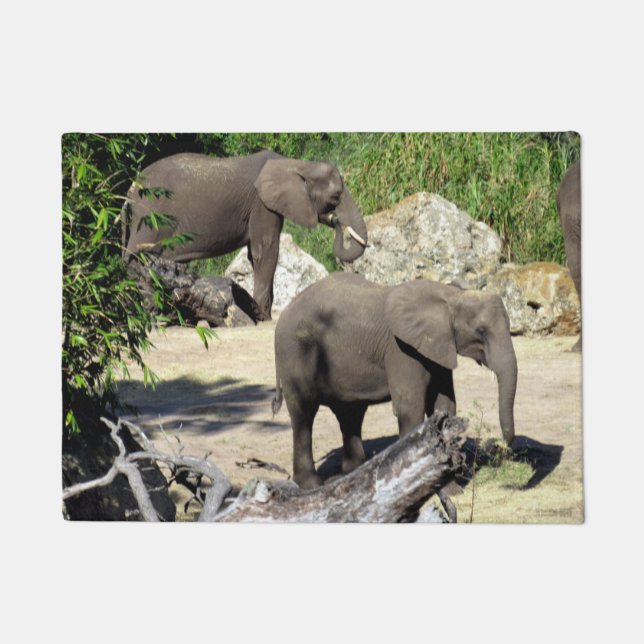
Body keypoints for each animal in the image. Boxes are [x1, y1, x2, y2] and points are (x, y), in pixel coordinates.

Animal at [122, 151, 368, 320]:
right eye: (335, 196)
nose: (336, 221)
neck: (295, 164)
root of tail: (130, 191)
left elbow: (256, 254)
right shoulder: (261, 205)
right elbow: (266, 251)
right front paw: (262, 316)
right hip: (151, 218)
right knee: (138, 259)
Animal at [272, 272, 518, 489]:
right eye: (481, 331)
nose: (501, 446)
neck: (449, 295)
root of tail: (283, 314)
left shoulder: (438, 347)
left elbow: (444, 405)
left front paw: (450, 486)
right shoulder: (402, 349)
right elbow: (410, 406)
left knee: (350, 414)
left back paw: (354, 476)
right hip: (295, 352)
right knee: (304, 414)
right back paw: (312, 484)